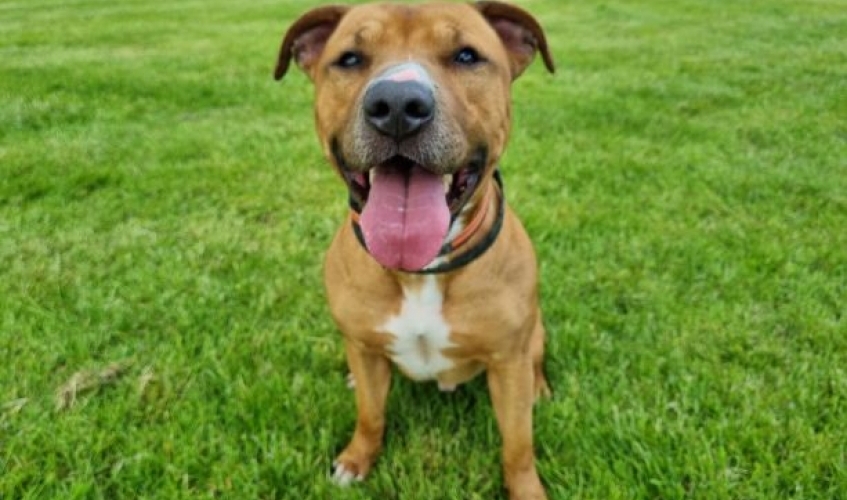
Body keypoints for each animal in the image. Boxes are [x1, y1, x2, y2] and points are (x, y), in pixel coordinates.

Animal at [274, 1, 556, 498]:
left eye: (466, 56)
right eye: (349, 58)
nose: (398, 106)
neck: (422, 269)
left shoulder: (508, 362)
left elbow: (518, 445)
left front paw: (527, 489)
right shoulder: (364, 348)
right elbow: (371, 415)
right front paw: (358, 459)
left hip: (533, 335)